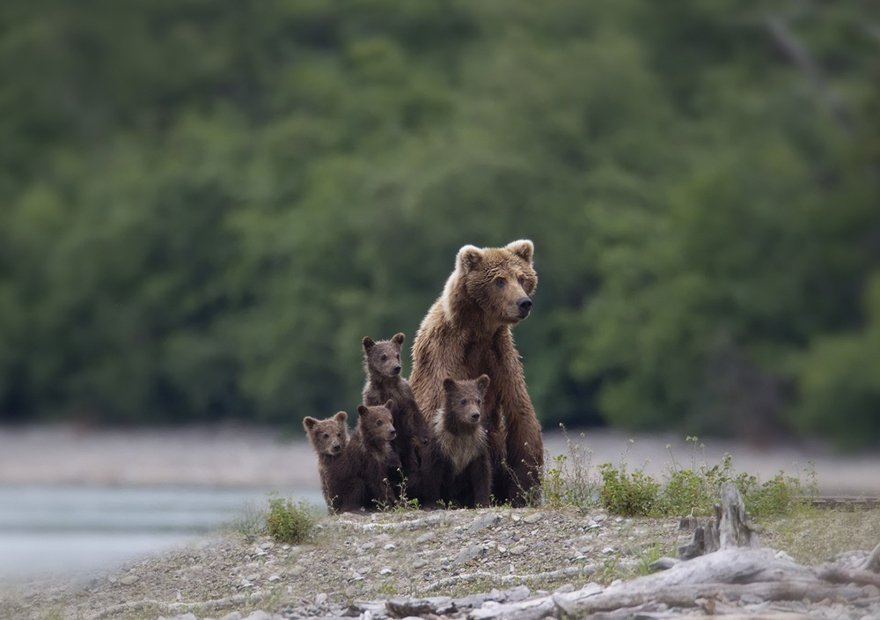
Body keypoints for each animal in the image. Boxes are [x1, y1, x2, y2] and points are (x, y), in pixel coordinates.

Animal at [360, 334, 436, 504]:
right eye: (383, 356)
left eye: (396, 355)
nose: (396, 368)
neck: (387, 385)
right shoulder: (372, 398)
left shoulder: (404, 396)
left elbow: (414, 417)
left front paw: (425, 438)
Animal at [434, 376, 496, 506]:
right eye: (463, 400)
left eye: (478, 400)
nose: (475, 415)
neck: (462, 433)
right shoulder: (442, 445)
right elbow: (435, 473)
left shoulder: (476, 447)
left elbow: (482, 474)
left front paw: (482, 501)